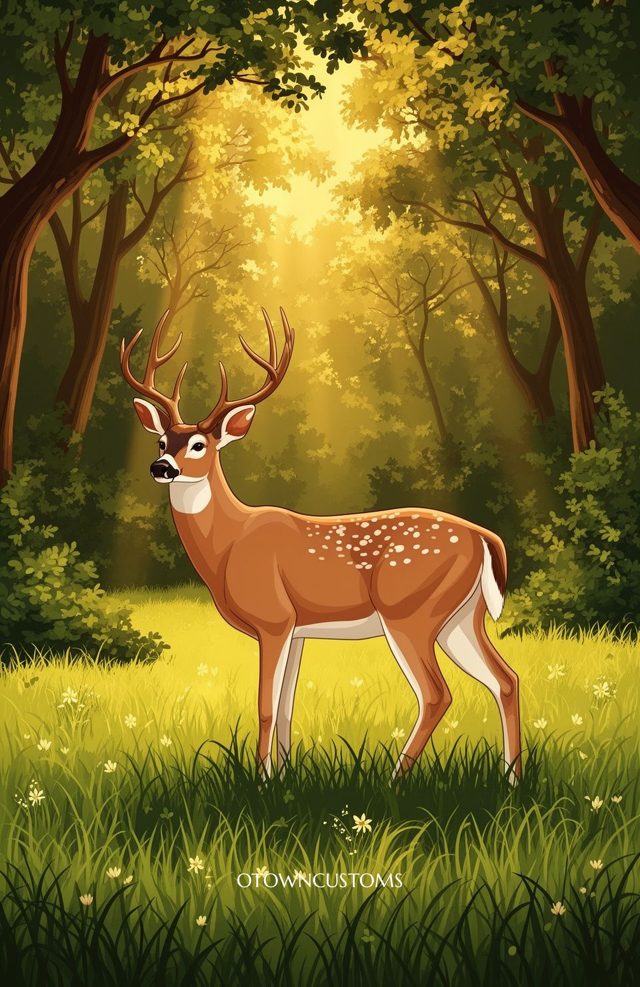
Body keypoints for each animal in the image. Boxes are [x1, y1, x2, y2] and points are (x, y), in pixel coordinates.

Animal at [121, 308, 522, 783]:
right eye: (162, 441)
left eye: (200, 444)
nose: (160, 467)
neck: (228, 547)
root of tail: (486, 538)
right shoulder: (298, 629)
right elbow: (286, 707)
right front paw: (282, 777)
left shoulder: (273, 619)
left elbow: (264, 706)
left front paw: (260, 781)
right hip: (462, 616)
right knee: (506, 679)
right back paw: (512, 780)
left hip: (410, 611)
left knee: (437, 693)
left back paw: (395, 782)